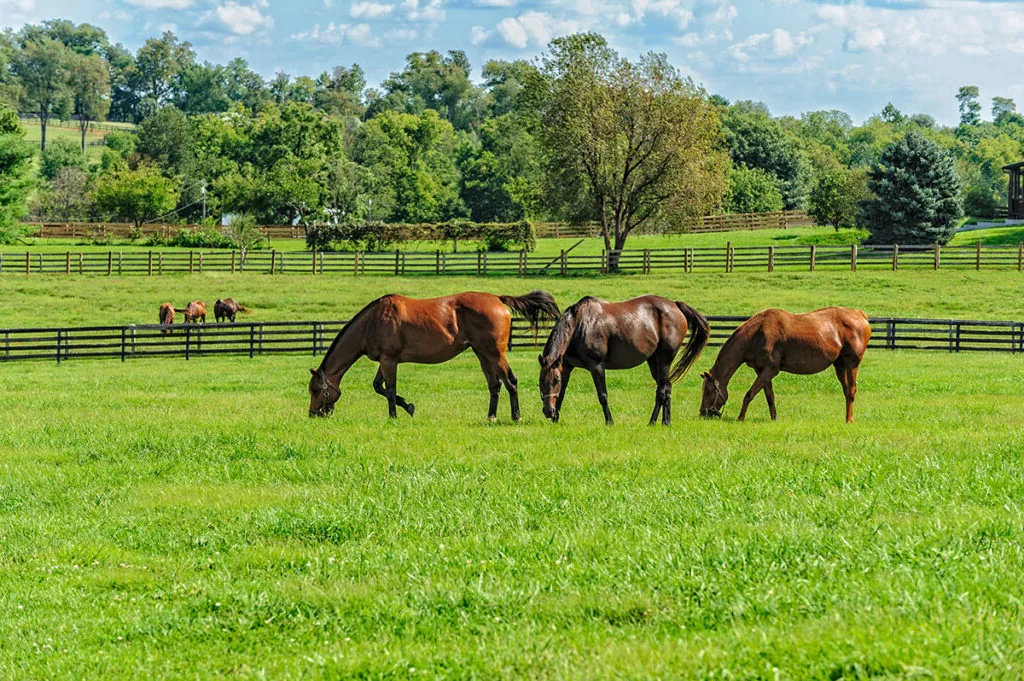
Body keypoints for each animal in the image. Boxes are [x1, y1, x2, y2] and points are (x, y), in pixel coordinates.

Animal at [308, 291, 561, 421]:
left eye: (315, 390)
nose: (313, 414)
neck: (373, 321)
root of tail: (498, 298)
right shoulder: (386, 360)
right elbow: (379, 387)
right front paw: (407, 406)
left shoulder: (389, 360)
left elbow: (389, 389)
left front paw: (395, 415)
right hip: (482, 355)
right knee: (495, 385)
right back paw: (491, 416)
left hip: (495, 354)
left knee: (510, 382)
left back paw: (516, 416)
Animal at [538, 295, 710, 426]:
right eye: (540, 381)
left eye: (555, 380)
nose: (548, 412)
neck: (579, 325)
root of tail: (675, 305)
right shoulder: (566, 366)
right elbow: (561, 394)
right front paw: (555, 420)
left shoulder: (596, 366)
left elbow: (603, 395)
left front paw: (609, 421)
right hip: (654, 362)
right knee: (667, 387)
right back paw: (666, 422)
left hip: (664, 360)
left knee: (661, 391)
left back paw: (652, 422)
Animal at [700, 307, 871, 423]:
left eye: (708, 390)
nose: (703, 413)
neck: (756, 334)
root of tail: (860, 314)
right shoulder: (761, 370)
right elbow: (769, 396)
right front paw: (774, 418)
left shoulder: (770, 370)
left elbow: (749, 394)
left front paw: (740, 418)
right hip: (839, 365)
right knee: (846, 391)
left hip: (852, 364)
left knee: (851, 391)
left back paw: (849, 420)